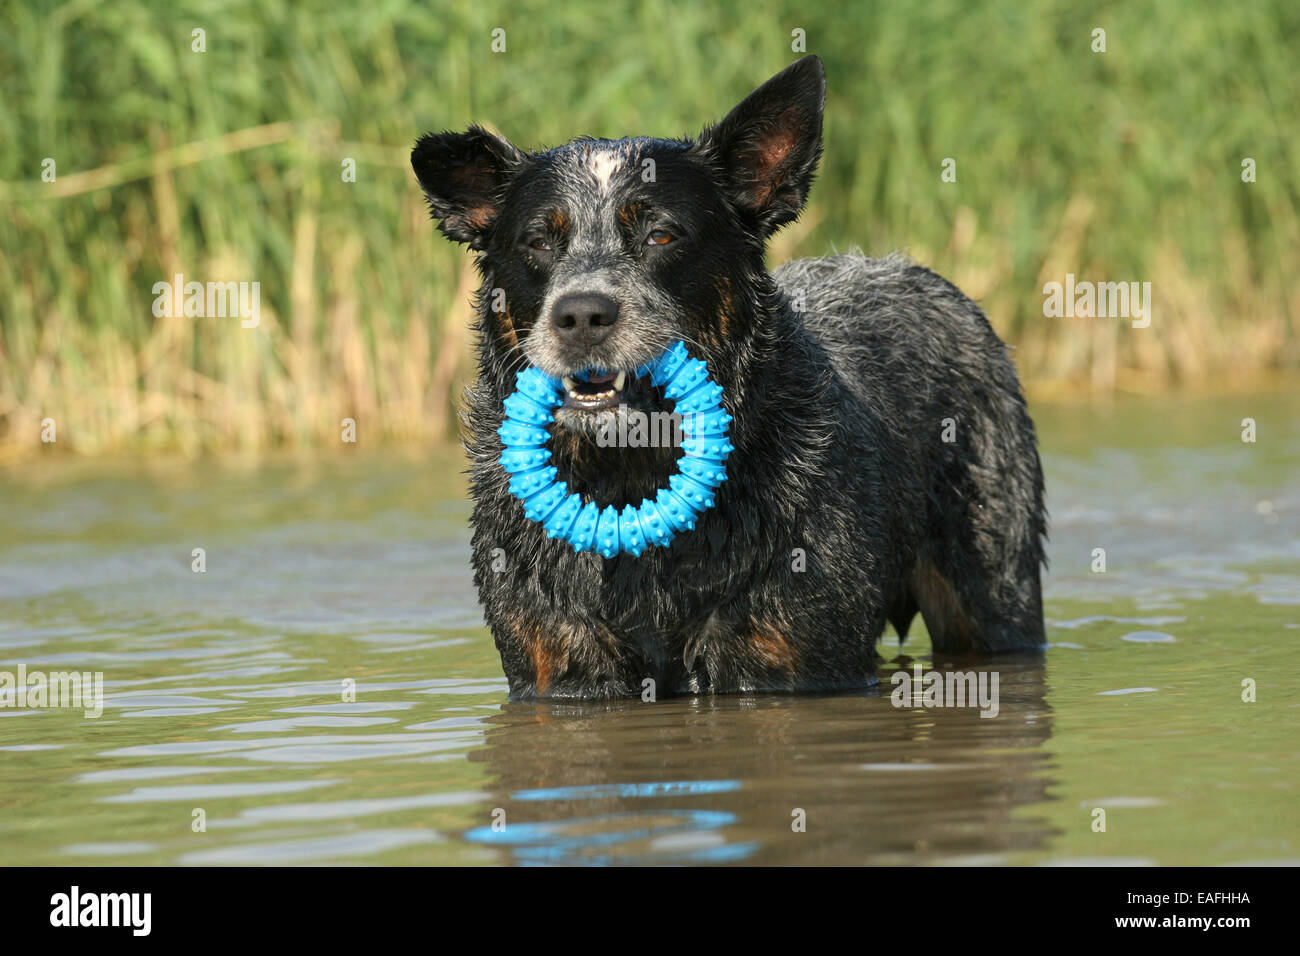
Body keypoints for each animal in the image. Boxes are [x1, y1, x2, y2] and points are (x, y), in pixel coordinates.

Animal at [410, 55, 1050, 697]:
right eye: (539, 240)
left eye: (661, 234)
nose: (582, 314)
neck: (628, 475)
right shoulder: (558, 668)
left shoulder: (789, 660)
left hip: (994, 586)